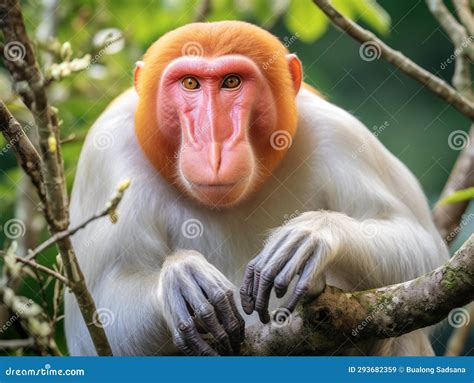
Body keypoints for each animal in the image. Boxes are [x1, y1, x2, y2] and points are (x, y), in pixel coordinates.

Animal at [65, 21, 448, 356]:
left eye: (232, 81)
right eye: (190, 83)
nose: (215, 141)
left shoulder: (338, 133)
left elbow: (421, 246)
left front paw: (314, 236)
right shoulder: (107, 153)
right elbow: (95, 329)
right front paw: (179, 280)